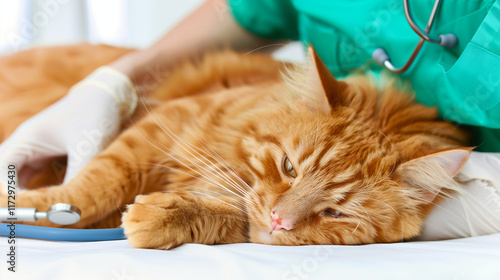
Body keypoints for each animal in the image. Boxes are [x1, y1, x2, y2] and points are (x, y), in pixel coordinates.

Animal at [0, 44, 468, 249]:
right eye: (289, 167)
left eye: (336, 212)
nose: (280, 221)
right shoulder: (163, 126)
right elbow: (90, 187)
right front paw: (22, 201)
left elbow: (225, 214)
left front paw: (160, 215)